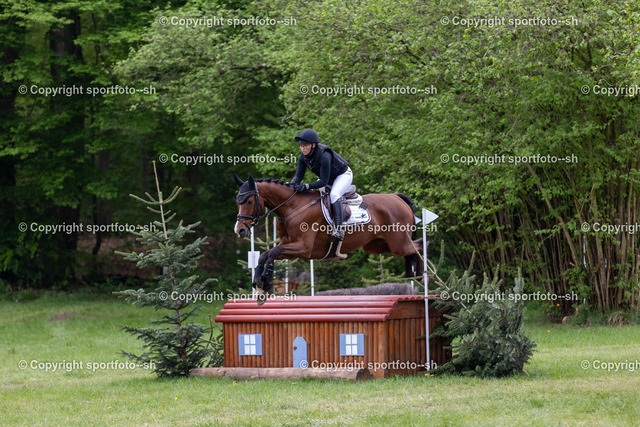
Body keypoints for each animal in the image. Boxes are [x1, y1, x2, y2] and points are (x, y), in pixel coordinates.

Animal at [233, 174, 424, 303]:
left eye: (249, 201)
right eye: (237, 201)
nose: (240, 230)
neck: (292, 207)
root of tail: (397, 197)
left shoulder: (303, 248)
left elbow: (273, 253)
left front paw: (266, 285)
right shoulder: (288, 245)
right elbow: (265, 255)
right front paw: (259, 286)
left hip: (397, 243)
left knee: (419, 245)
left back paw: (419, 276)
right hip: (378, 245)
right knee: (412, 249)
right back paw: (410, 275)